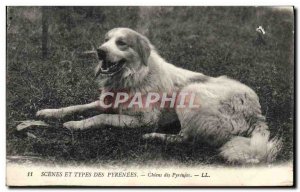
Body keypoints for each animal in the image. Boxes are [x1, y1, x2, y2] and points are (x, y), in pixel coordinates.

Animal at [36, 27, 282, 164]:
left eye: (121, 43)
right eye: (105, 40)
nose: (100, 51)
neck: (135, 76)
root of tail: (257, 114)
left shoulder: (144, 119)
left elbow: (100, 117)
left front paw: (75, 125)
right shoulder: (105, 102)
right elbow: (77, 107)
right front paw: (49, 112)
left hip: (190, 93)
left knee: (186, 138)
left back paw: (153, 137)